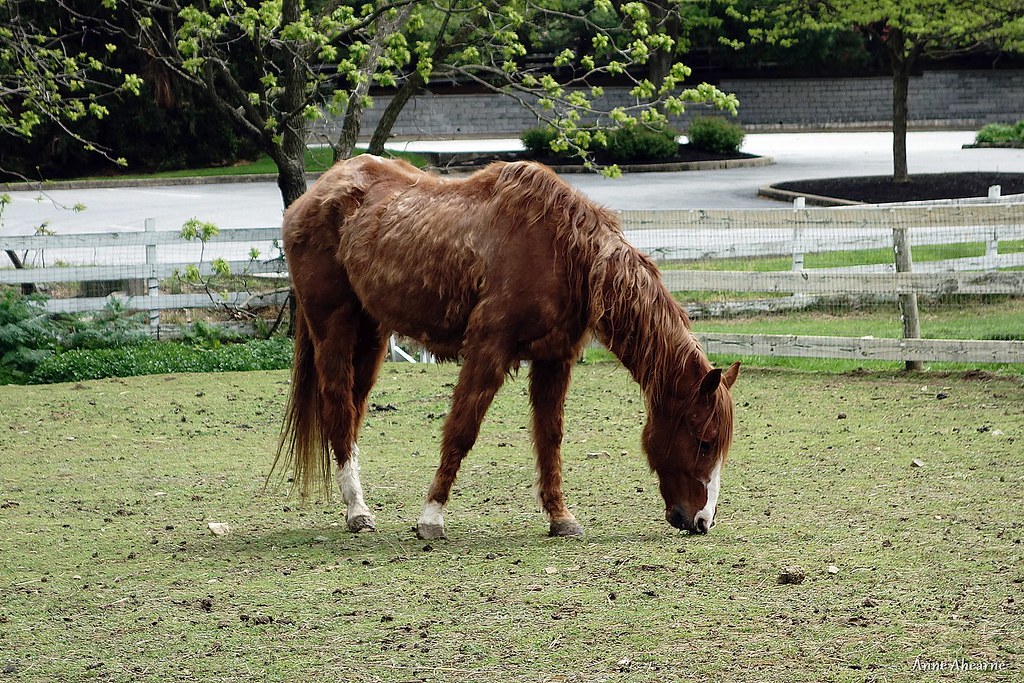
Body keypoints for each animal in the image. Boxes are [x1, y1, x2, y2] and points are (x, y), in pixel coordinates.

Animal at [274, 155, 739, 539]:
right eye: (704, 441)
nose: (702, 521)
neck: (564, 254)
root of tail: (312, 196)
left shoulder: (555, 359)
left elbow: (550, 436)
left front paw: (560, 517)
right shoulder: (488, 349)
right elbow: (462, 429)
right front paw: (431, 518)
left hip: (372, 334)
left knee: (353, 410)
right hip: (333, 325)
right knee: (337, 405)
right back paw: (358, 512)